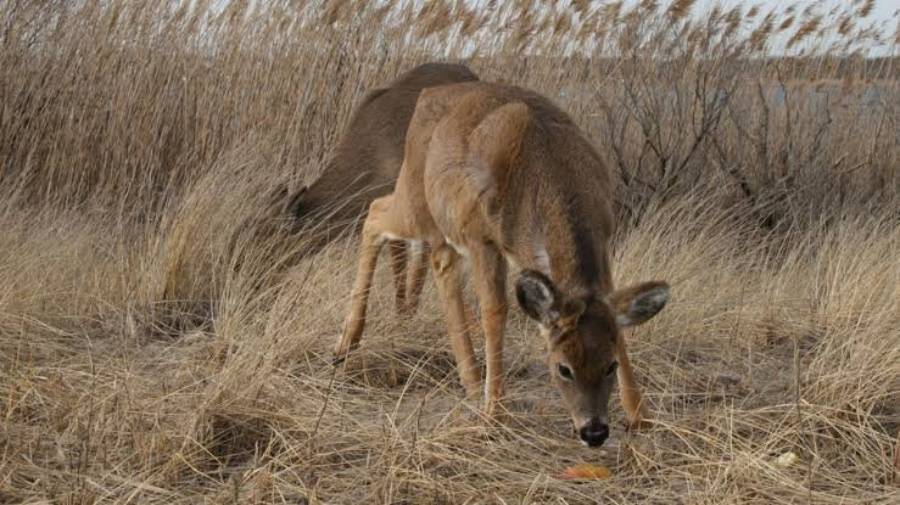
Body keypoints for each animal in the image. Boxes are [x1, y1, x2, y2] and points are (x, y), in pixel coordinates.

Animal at [334, 81, 670, 447]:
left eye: (609, 366)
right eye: (562, 368)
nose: (594, 431)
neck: (547, 173)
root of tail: (428, 93)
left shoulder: (604, 240)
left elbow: (618, 321)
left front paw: (641, 414)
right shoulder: (483, 239)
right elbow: (495, 311)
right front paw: (495, 411)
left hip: (441, 224)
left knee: (440, 263)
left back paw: (468, 378)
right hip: (416, 201)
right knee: (375, 213)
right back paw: (346, 342)